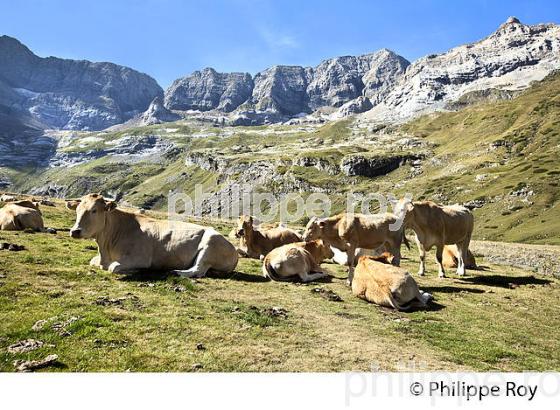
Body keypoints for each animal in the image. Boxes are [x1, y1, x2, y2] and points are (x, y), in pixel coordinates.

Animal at [66, 193, 238, 278]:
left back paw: (176, 272)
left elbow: (113, 267)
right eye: (77, 210)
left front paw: (136, 271)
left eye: (94, 210)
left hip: (209, 245)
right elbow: (93, 262)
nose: (75, 231)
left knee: (198, 270)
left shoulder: (139, 258)